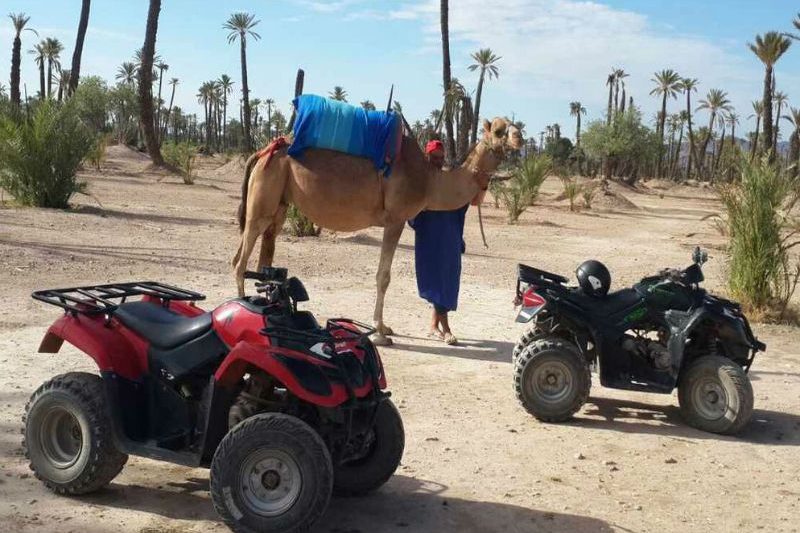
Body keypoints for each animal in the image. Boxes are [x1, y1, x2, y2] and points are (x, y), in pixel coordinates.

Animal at [233, 117, 523, 345]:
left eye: (514, 125)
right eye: (499, 130)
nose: (519, 137)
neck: (430, 180)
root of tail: (263, 152)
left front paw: (384, 327)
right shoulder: (395, 219)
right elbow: (384, 276)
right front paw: (380, 333)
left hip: (280, 203)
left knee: (264, 254)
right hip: (263, 198)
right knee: (240, 260)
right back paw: (243, 309)